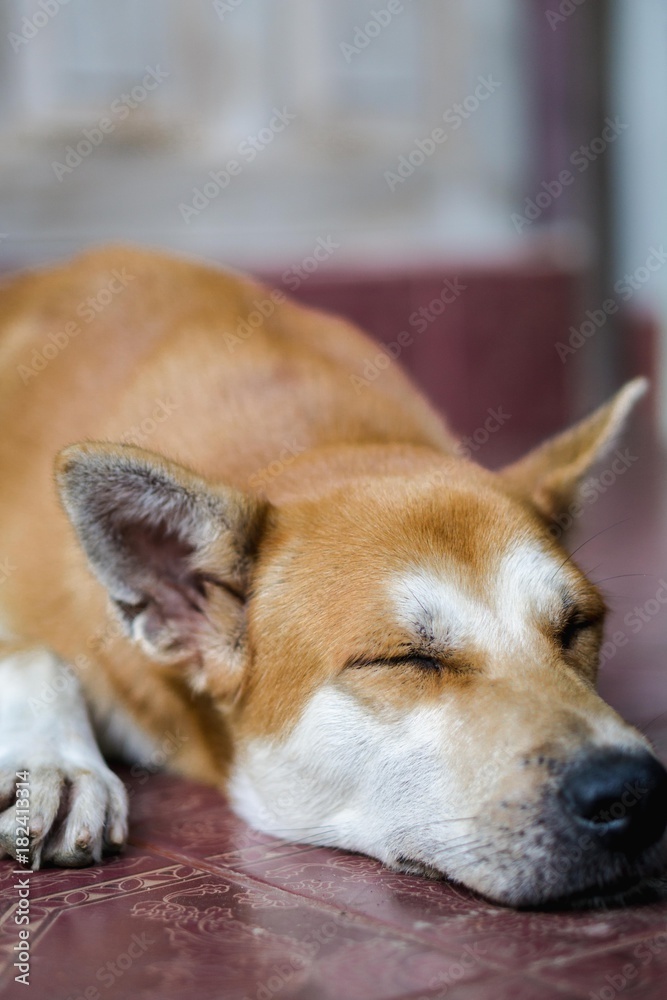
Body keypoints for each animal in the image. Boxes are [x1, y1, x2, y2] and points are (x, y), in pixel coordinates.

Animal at [0, 244, 664, 908]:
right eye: (405, 660)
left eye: (578, 626)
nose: (632, 789)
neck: (313, 445)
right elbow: (37, 657)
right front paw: (57, 767)